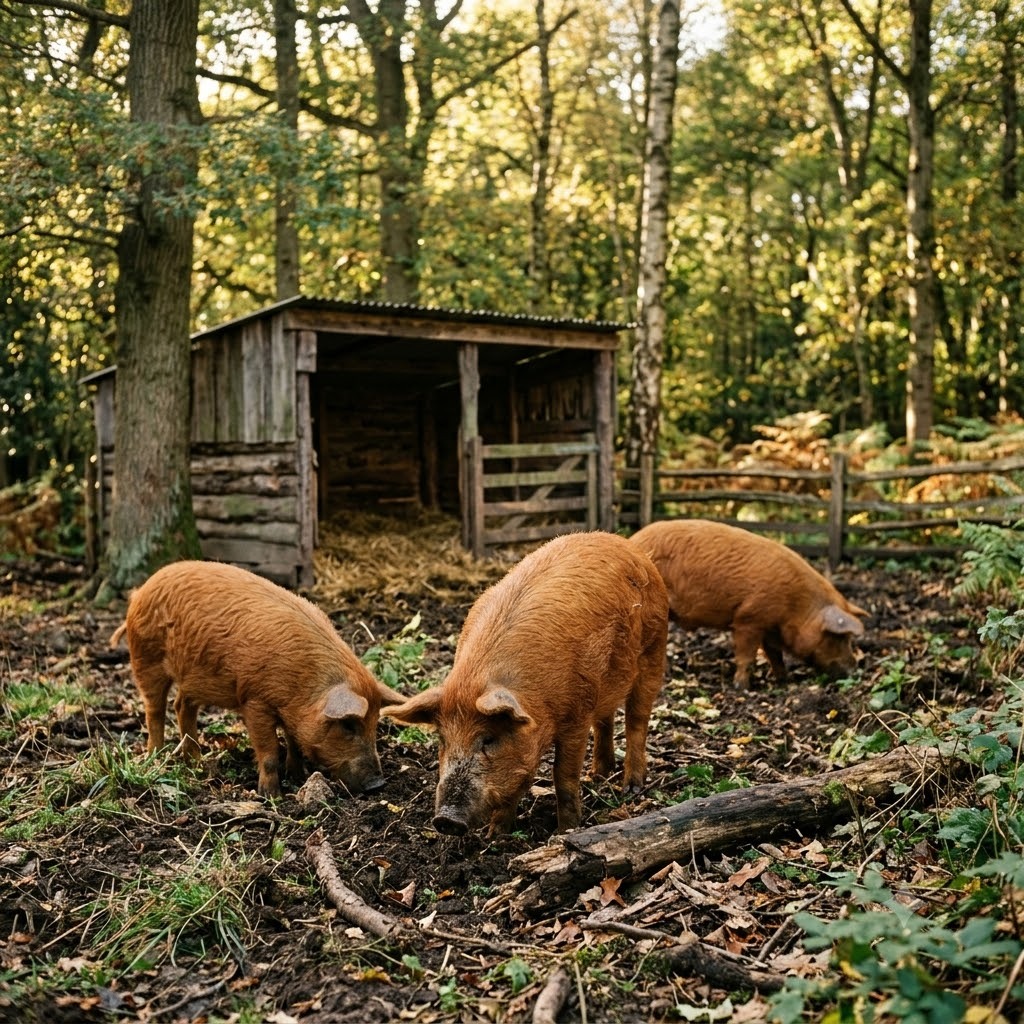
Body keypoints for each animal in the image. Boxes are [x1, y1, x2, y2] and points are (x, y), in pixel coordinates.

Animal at [109, 560, 404, 798]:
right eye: (348, 726)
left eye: (374, 723)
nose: (377, 784)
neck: (304, 685)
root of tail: (140, 592)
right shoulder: (255, 701)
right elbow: (270, 750)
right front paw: (271, 796)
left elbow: (295, 742)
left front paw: (298, 776)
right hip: (145, 657)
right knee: (155, 709)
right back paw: (156, 757)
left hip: (192, 677)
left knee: (182, 705)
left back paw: (197, 763)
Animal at [382, 531, 669, 836]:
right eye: (442, 739)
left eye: (489, 739)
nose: (446, 820)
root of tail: (627, 545)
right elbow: (519, 778)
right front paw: (494, 835)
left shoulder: (576, 714)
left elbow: (563, 775)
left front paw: (565, 831)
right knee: (606, 719)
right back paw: (597, 775)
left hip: (654, 647)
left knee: (637, 719)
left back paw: (631, 787)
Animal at [629, 519, 868, 686]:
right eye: (839, 637)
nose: (855, 668)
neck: (796, 606)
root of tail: (634, 539)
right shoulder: (749, 619)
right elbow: (747, 657)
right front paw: (741, 687)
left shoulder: (769, 627)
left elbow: (775, 654)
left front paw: (784, 680)